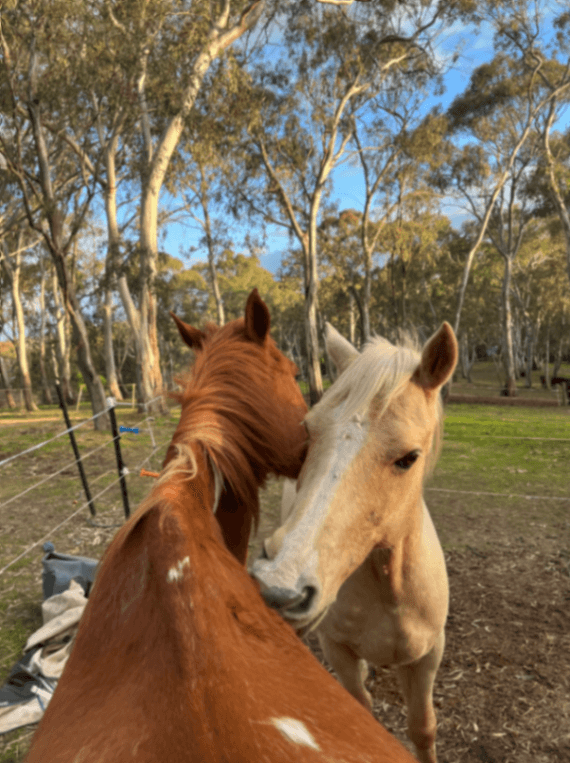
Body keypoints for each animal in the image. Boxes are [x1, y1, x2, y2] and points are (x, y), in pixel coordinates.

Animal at [252, 322, 458, 763]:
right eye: (308, 430)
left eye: (409, 457)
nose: (280, 584)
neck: (389, 589)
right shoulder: (337, 649)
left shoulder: (428, 656)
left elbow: (423, 728)